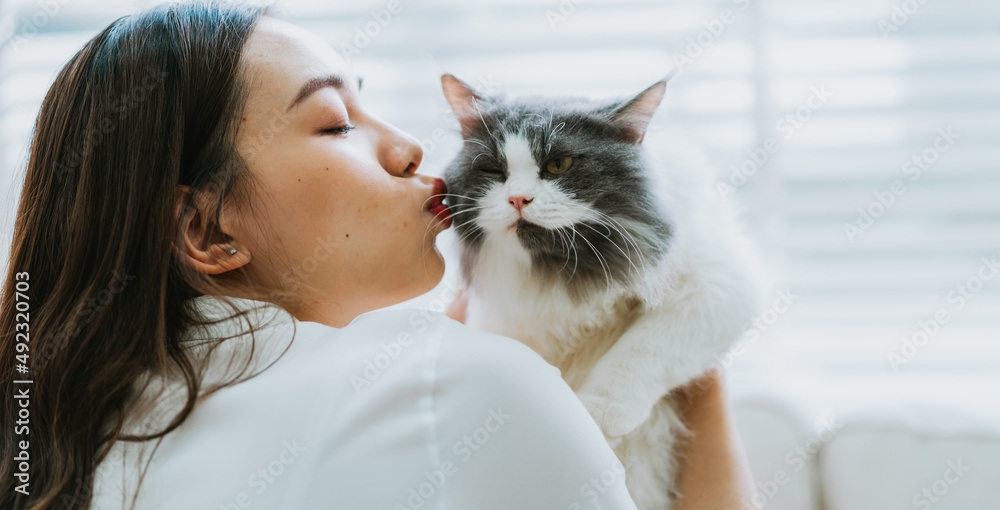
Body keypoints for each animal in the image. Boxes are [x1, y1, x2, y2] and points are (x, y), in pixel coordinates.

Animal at [438, 72, 756, 510]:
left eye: (558, 165)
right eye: (493, 169)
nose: (517, 199)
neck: (567, 275)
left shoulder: (716, 285)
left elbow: (641, 349)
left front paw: (597, 414)